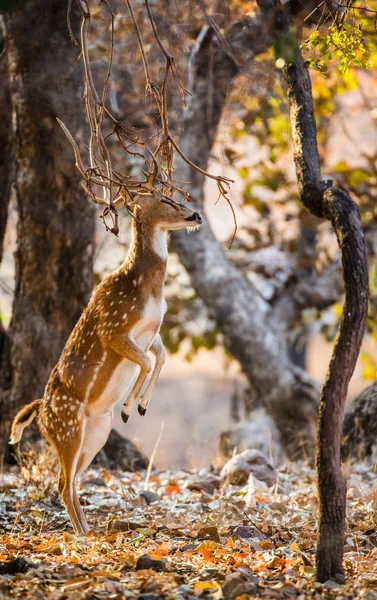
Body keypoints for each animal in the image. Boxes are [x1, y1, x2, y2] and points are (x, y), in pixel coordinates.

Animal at [8, 195, 201, 536]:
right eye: (165, 198)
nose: (197, 215)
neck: (148, 290)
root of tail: (40, 411)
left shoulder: (151, 331)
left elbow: (160, 357)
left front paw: (141, 406)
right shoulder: (114, 329)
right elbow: (147, 361)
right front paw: (129, 407)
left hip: (96, 432)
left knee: (71, 482)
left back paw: (88, 530)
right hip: (67, 429)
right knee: (62, 482)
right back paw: (83, 535)